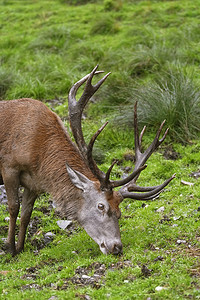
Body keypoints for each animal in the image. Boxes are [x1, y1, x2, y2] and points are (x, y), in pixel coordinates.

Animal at [0, 65, 175, 255]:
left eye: (119, 212)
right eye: (101, 206)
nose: (116, 247)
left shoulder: (33, 183)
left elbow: (26, 214)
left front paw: (20, 247)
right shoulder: (9, 167)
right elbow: (13, 206)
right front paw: (9, 248)